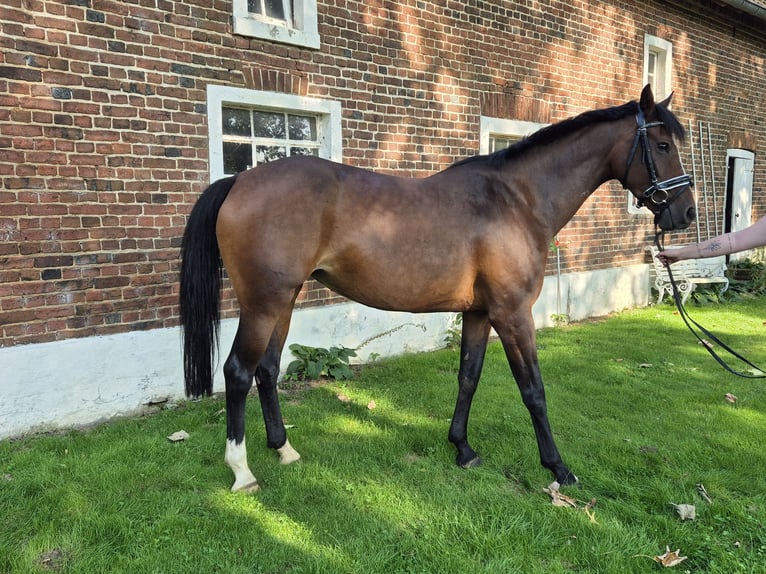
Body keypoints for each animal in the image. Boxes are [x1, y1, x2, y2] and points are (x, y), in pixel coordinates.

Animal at [182, 86, 696, 496]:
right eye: (663, 144)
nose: (686, 213)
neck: (516, 200)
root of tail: (240, 179)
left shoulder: (479, 313)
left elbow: (468, 376)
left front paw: (462, 448)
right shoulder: (513, 314)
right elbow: (533, 389)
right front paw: (558, 467)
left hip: (283, 301)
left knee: (267, 371)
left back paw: (284, 450)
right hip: (263, 304)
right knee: (238, 373)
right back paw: (242, 471)